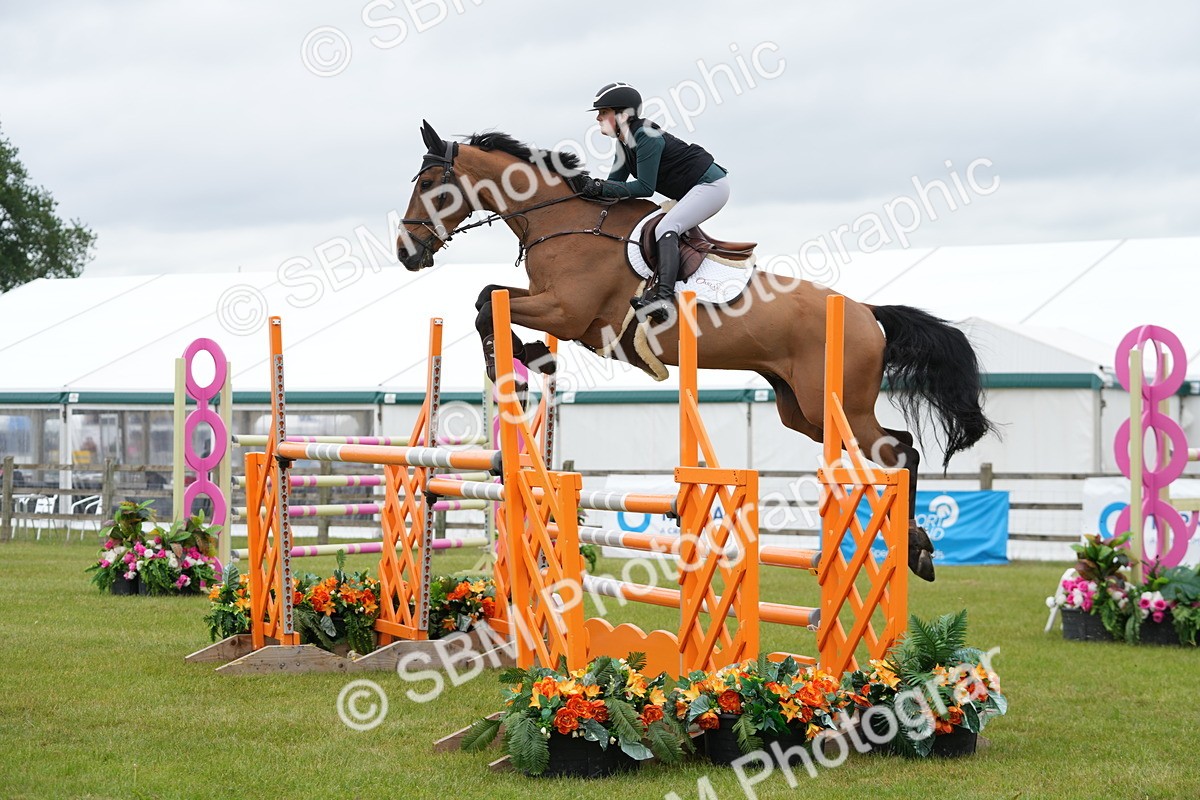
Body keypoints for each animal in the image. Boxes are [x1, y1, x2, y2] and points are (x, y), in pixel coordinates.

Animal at [395, 120, 994, 582]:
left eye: (429, 182)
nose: (406, 253)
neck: (562, 221)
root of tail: (867, 313)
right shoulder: (560, 312)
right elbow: (486, 299)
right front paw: (527, 356)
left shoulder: (567, 311)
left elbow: (486, 302)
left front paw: (514, 354)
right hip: (802, 410)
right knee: (895, 448)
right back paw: (916, 546)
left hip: (839, 405)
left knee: (901, 452)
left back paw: (918, 551)